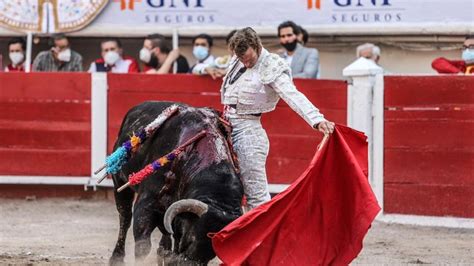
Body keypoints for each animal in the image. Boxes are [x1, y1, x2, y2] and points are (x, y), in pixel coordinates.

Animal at [108, 101, 244, 264]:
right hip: (119, 182)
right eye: (191, 239)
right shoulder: (145, 204)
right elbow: (143, 246)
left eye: (213, 253)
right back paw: (116, 258)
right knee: (125, 217)